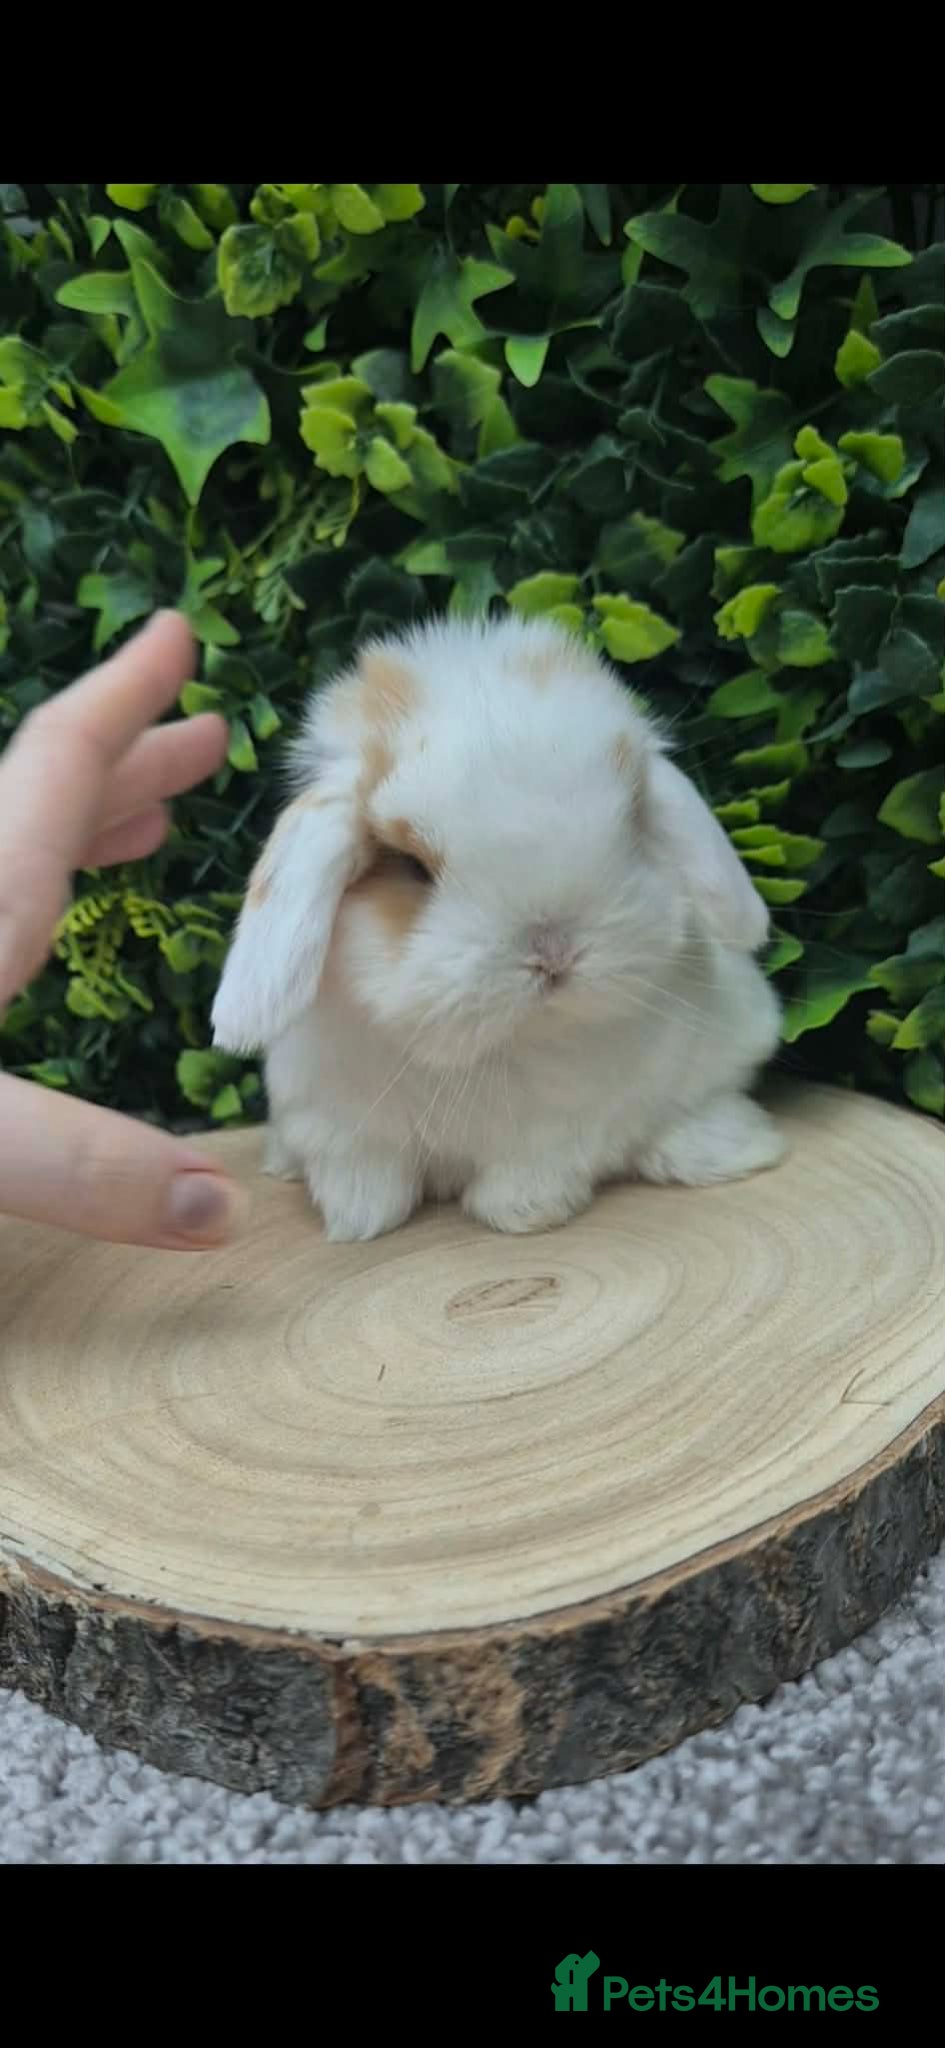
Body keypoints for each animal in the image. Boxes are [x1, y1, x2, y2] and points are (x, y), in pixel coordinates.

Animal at [211, 615, 785, 1241]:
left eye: (632, 822)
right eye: (412, 865)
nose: (554, 953)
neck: (503, 1048)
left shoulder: (559, 1132)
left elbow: (533, 1172)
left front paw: (524, 1212)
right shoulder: (336, 1124)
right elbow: (363, 1172)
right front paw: (358, 1220)